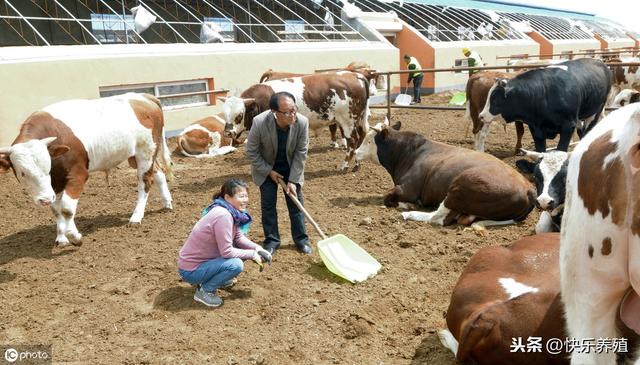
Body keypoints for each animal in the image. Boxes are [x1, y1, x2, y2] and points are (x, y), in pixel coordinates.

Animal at [0, 92, 172, 245]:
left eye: (46, 167)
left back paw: (136, 217)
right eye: (23, 173)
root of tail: (144, 97)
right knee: (159, 173)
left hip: (146, 152)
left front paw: (74, 236)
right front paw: (61, 238)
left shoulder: (78, 175)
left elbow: (67, 208)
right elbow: (57, 210)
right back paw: (167, 203)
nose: (45, 199)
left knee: (145, 181)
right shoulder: (55, 183)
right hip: (136, 156)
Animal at [356, 118, 536, 229]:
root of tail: (528, 188)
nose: (356, 152)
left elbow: (387, 197)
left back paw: (410, 213)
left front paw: (408, 204)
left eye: (369, 140)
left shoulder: (406, 189)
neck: (408, 152)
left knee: (439, 218)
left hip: (461, 185)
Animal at [480, 57, 608, 151]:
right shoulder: (535, 128)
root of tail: (599, 62)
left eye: (495, 100)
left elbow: (561, 149)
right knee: (581, 130)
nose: (481, 116)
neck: (543, 93)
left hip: (596, 112)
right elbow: (540, 150)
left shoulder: (568, 126)